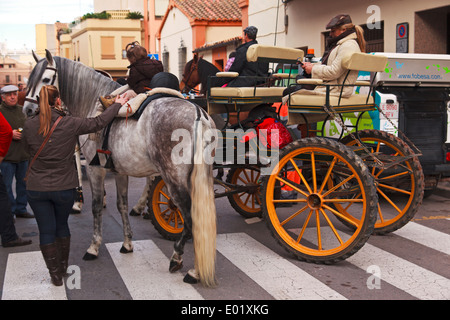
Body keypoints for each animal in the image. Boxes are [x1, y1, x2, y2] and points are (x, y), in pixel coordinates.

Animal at [24, 50, 218, 288]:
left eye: (45, 80)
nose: (28, 110)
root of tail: (198, 113)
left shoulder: (95, 170)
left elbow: (97, 206)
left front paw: (94, 247)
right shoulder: (120, 172)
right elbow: (122, 205)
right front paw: (127, 244)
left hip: (174, 181)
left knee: (191, 220)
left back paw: (183, 263)